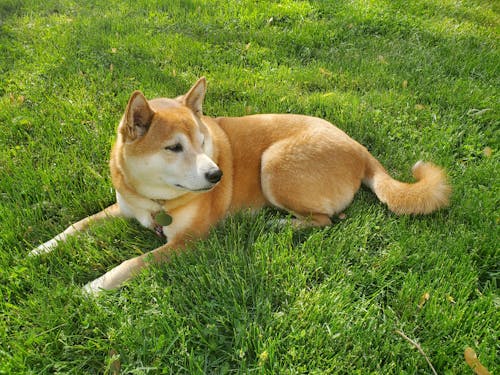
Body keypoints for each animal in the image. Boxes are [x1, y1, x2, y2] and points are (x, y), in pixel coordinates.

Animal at [32, 78, 454, 296]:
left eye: (202, 141)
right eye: (174, 148)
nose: (217, 176)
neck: (153, 200)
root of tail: (360, 148)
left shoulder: (187, 243)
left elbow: (132, 263)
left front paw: (94, 287)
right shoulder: (122, 206)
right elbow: (78, 225)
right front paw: (41, 249)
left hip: (275, 163)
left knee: (325, 220)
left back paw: (279, 224)